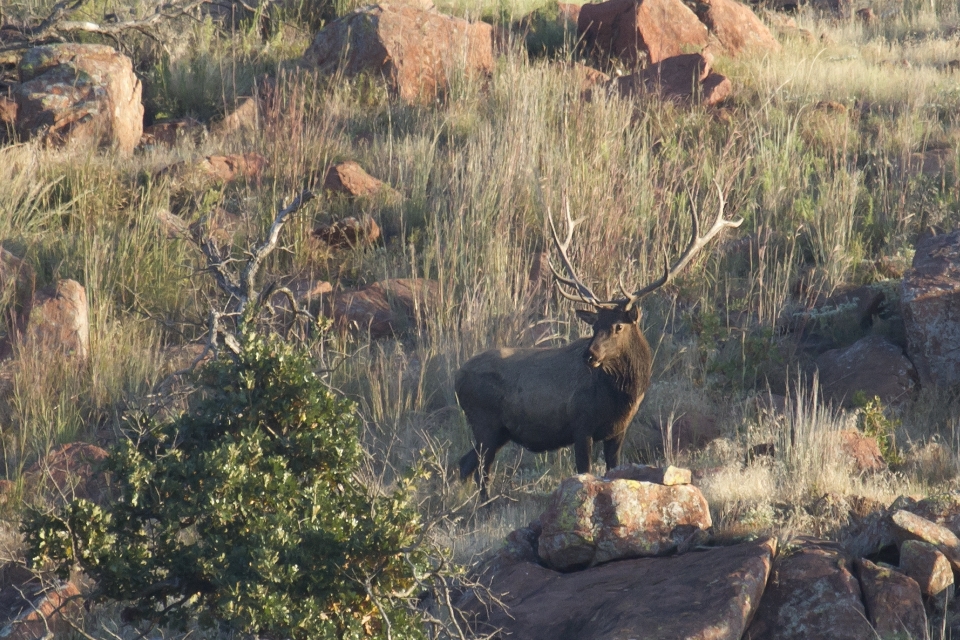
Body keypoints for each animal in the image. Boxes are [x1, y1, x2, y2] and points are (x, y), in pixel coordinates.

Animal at [458, 192, 744, 498]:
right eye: (594, 326)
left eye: (618, 326)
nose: (589, 355)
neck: (623, 397)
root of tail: (457, 377)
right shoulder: (580, 425)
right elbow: (584, 472)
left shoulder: (617, 432)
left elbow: (612, 469)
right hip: (484, 422)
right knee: (480, 471)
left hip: (498, 431)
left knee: (465, 464)